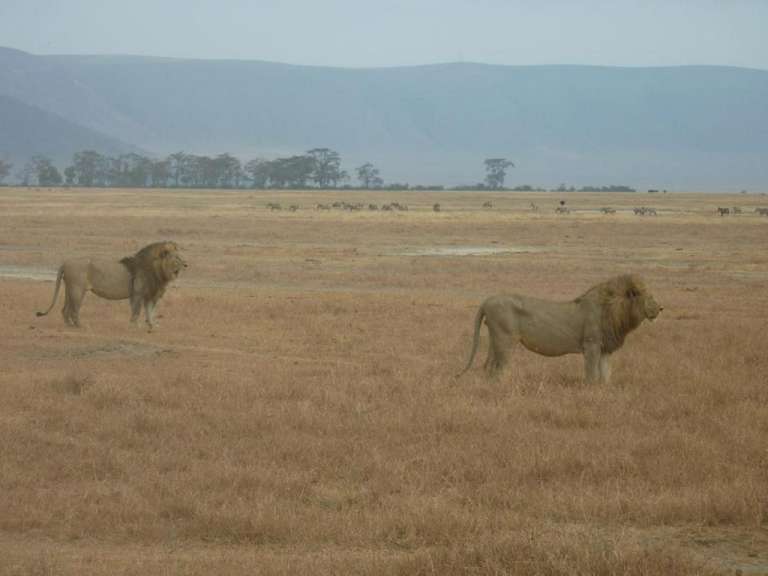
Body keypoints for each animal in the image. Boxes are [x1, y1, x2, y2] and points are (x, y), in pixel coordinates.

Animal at [36, 241, 186, 330]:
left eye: (180, 256)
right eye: (176, 257)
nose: (186, 264)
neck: (158, 271)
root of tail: (65, 262)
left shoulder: (150, 295)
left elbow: (150, 311)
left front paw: (152, 325)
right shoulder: (137, 293)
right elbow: (136, 311)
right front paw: (135, 326)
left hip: (69, 289)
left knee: (65, 310)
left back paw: (69, 327)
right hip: (77, 290)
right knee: (74, 310)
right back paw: (81, 326)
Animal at [458, 274, 662, 384]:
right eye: (646, 296)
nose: (661, 308)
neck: (613, 310)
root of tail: (487, 301)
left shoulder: (605, 349)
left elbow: (605, 374)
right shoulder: (591, 345)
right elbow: (591, 374)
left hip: (495, 339)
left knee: (488, 366)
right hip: (505, 340)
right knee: (498, 369)